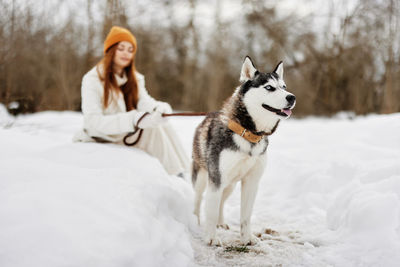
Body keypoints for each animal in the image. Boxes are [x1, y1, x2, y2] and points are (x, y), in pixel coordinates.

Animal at [192, 56, 296, 247]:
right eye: (269, 87)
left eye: (284, 86)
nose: (291, 97)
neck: (248, 133)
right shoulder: (216, 179)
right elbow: (210, 211)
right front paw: (211, 237)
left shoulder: (251, 182)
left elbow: (246, 215)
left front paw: (247, 238)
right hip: (203, 177)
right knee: (198, 199)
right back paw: (194, 220)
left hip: (230, 184)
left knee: (221, 201)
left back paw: (221, 223)